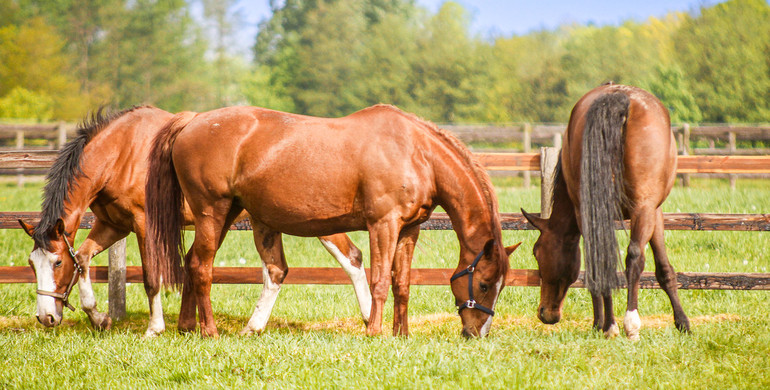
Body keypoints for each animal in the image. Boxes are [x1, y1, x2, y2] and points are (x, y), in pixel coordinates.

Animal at [18, 105, 372, 336]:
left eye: (56, 263)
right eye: (33, 265)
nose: (45, 317)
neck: (122, 151)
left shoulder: (144, 225)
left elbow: (151, 276)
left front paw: (155, 328)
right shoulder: (112, 226)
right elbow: (84, 259)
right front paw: (99, 318)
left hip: (315, 224)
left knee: (351, 258)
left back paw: (370, 318)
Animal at [144, 104, 516, 338]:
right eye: (485, 284)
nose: (477, 333)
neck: (415, 152)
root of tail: (192, 120)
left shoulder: (409, 229)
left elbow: (402, 284)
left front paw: (402, 334)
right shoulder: (383, 225)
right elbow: (380, 281)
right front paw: (375, 332)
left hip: (228, 213)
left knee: (194, 261)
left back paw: (192, 327)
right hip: (212, 211)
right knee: (202, 267)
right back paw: (209, 331)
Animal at [520, 84, 688, 340]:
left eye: (536, 253)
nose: (545, 314)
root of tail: (618, 97)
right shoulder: (654, 211)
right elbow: (661, 267)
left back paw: (612, 324)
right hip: (641, 209)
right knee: (633, 257)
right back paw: (625, 324)